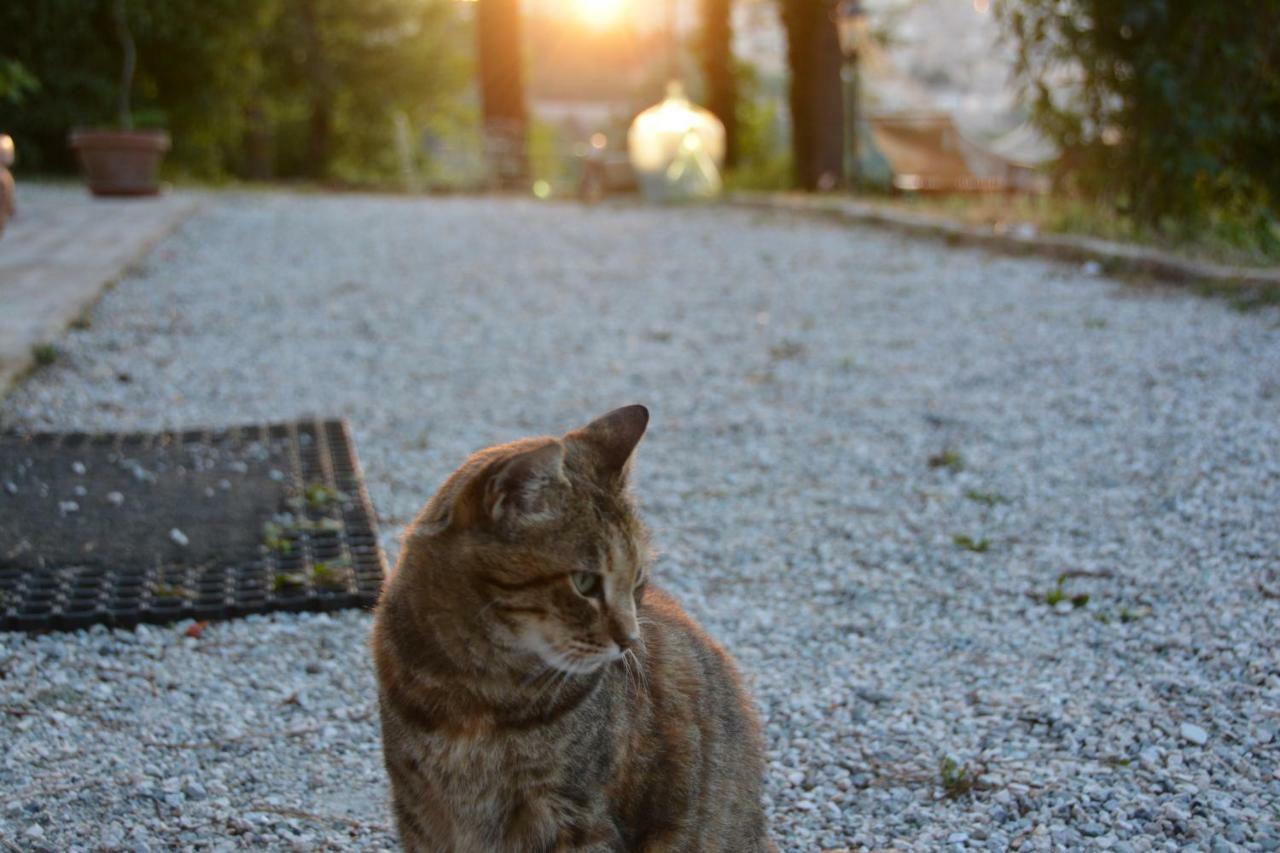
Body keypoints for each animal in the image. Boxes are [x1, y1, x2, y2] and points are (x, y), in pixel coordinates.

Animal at [371, 404, 768, 850]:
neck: (472, 693)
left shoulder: (575, 815)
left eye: (638, 580)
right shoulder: (418, 808)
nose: (630, 639)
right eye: (585, 583)